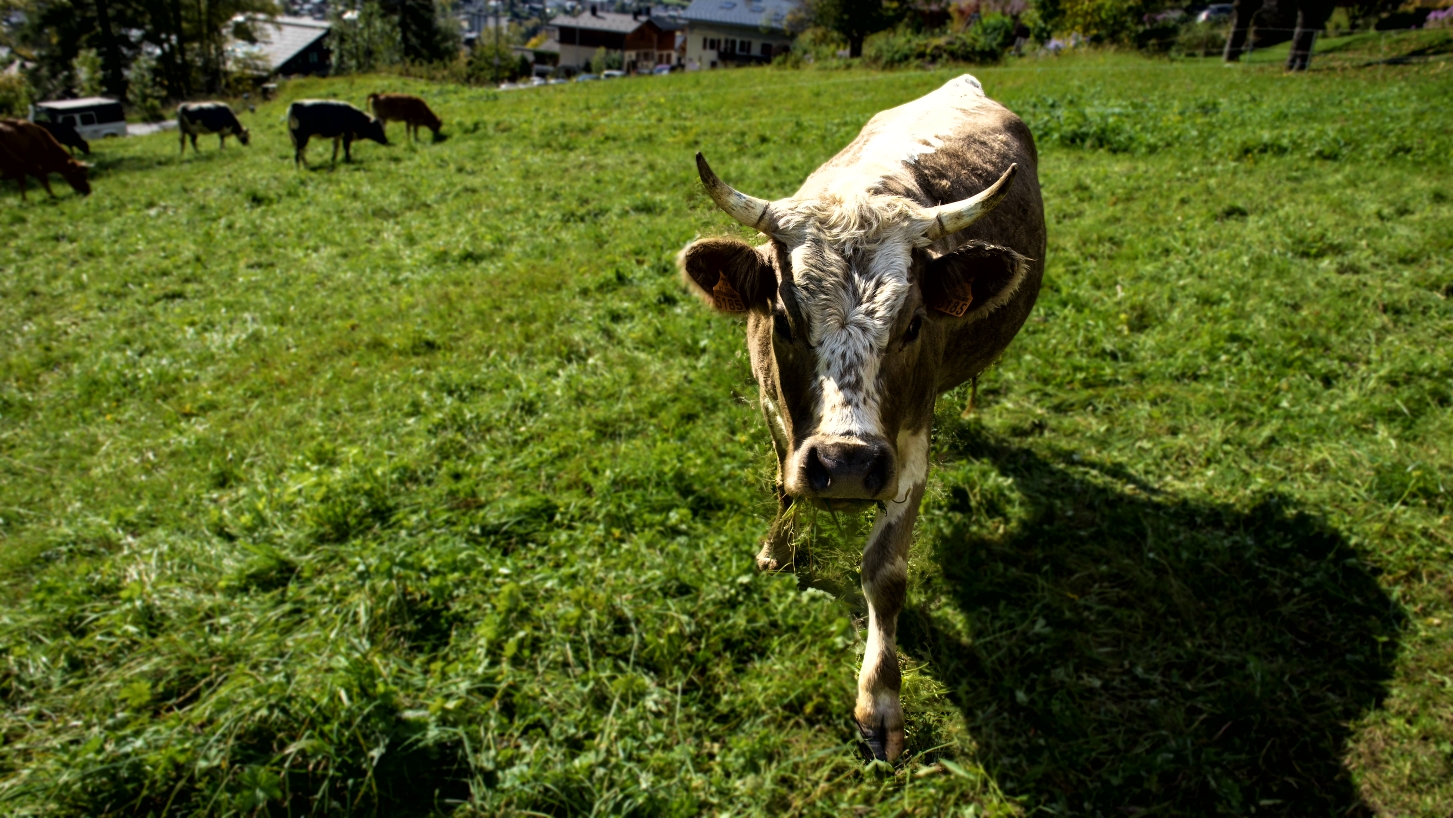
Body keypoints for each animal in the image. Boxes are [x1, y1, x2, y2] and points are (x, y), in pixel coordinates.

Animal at [680, 73, 1046, 767]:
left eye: (913, 324)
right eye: (784, 318)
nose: (847, 465)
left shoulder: (908, 450)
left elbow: (884, 573)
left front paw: (879, 700)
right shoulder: (776, 415)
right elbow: (782, 484)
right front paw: (777, 550)